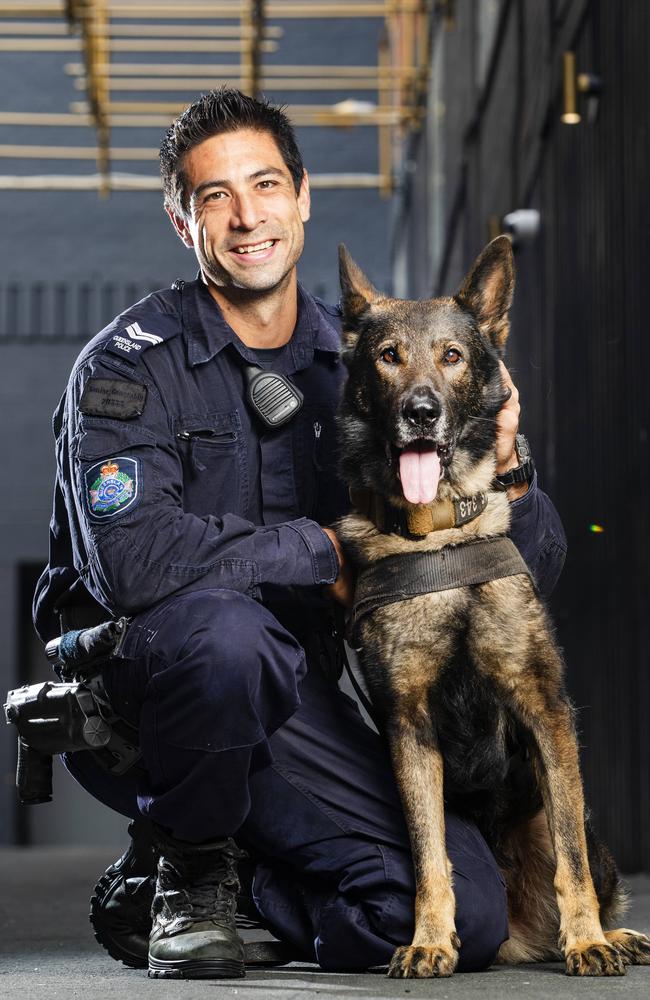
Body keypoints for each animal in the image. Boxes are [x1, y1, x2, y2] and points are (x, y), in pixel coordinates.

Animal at [334, 240, 648, 976]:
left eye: (452, 356)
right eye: (388, 355)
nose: (421, 412)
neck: (440, 532)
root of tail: (516, 934)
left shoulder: (544, 708)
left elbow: (570, 859)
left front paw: (588, 939)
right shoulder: (410, 727)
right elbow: (429, 856)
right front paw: (428, 938)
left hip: (580, 818)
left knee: (582, 855)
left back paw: (609, 934)